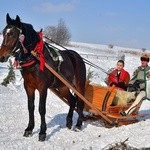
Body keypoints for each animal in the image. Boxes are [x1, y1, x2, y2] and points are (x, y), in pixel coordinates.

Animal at [0, 13, 86, 141]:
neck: (35, 58)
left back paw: (78, 125)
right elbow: (30, 107)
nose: (2, 57)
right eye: (4, 32)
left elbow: (41, 109)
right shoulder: (29, 86)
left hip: (79, 85)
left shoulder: (43, 88)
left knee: (80, 102)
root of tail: (77, 56)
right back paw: (69, 122)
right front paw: (29, 129)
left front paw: (42, 132)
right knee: (72, 100)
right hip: (63, 86)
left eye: (13, 34)